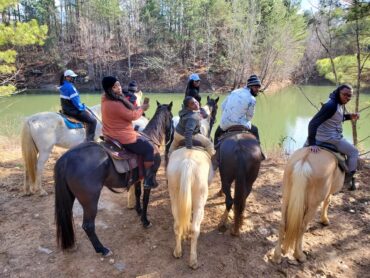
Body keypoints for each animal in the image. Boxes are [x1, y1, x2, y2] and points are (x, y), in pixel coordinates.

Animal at [54, 101, 173, 255]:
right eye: (171, 117)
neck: (150, 138)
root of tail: (67, 158)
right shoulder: (149, 179)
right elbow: (146, 199)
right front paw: (145, 221)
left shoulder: (138, 179)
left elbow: (137, 193)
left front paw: (138, 210)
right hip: (90, 201)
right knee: (88, 225)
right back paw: (101, 249)